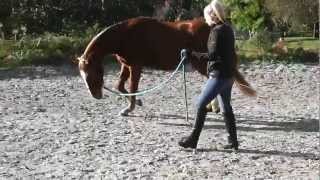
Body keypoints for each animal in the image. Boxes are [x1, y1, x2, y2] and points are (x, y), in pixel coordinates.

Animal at [77, 16, 255, 115]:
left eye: (92, 74)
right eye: (83, 76)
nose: (96, 96)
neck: (124, 36)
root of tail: (214, 26)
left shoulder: (135, 66)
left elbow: (132, 87)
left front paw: (129, 109)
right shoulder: (126, 65)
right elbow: (120, 86)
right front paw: (137, 103)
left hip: (203, 63)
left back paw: (215, 107)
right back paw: (213, 107)